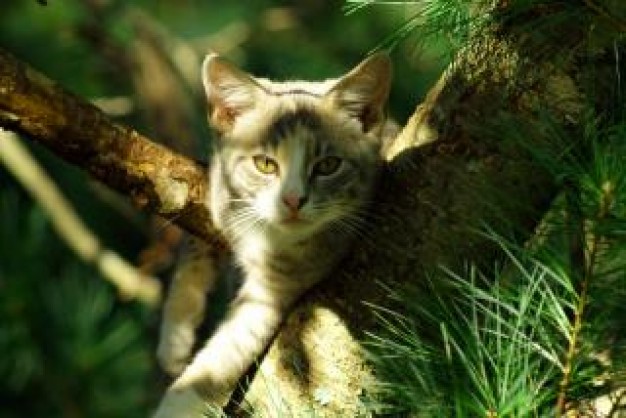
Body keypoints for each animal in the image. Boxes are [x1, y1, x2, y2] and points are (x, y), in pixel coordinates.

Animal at [152, 52, 390, 418]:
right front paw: (175, 337)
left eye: (328, 165)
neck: (263, 233)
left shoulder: (282, 285)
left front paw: (177, 401)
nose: (293, 200)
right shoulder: (220, 192)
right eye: (265, 164)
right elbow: (195, 242)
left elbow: (220, 358)